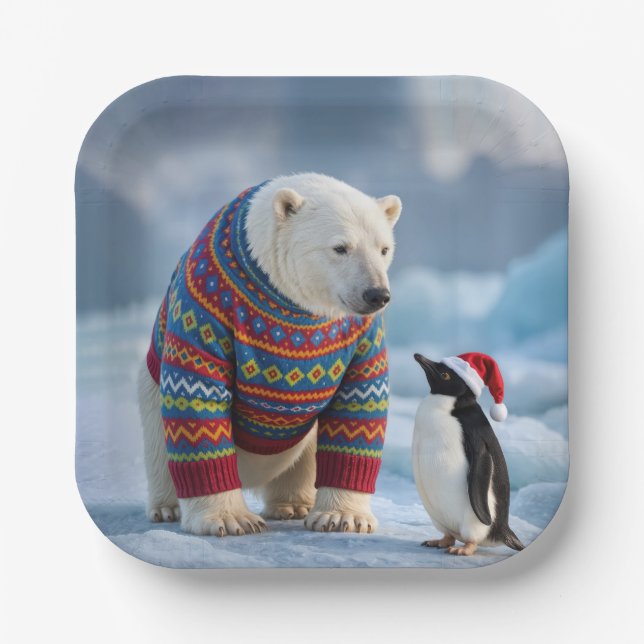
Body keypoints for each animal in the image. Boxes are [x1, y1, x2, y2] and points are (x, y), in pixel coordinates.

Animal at [137, 173, 402, 536]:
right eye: (340, 247)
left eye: (384, 248)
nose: (377, 294)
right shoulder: (207, 307)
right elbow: (196, 391)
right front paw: (231, 519)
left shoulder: (358, 335)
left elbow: (361, 401)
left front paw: (342, 518)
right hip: (150, 393)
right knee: (159, 446)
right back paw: (166, 507)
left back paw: (293, 504)